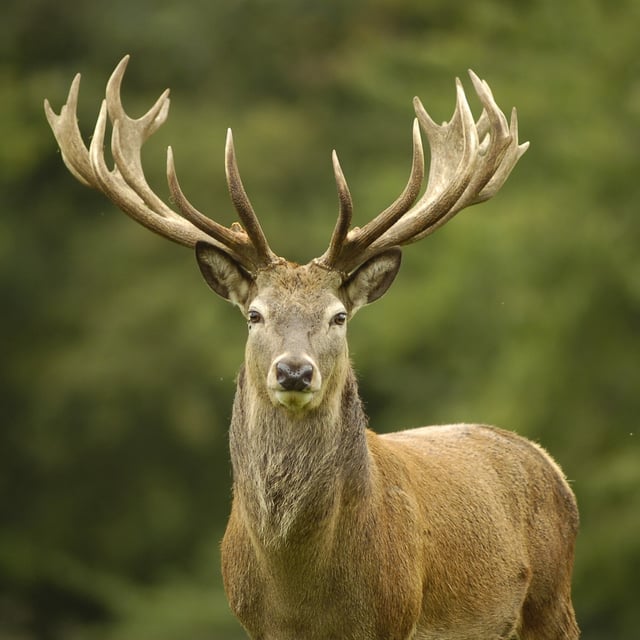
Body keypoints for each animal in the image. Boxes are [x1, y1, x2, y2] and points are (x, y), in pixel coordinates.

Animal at [45, 56, 579, 640]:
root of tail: (551, 467)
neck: (301, 590)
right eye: (254, 315)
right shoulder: (253, 624)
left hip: (553, 602)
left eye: (338, 316)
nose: (295, 372)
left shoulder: (395, 617)